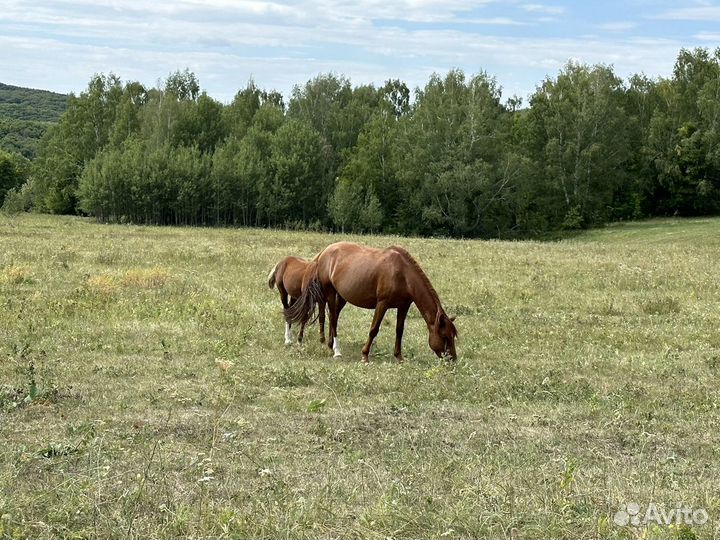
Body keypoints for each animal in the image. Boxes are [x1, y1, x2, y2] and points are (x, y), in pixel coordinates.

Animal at [284, 242, 457, 362]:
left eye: (452, 336)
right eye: (444, 336)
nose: (452, 360)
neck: (403, 274)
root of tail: (323, 253)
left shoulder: (403, 306)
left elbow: (399, 331)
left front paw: (399, 357)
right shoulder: (382, 304)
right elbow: (374, 329)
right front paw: (365, 356)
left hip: (342, 297)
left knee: (334, 318)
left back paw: (330, 344)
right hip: (330, 292)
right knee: (332, 319)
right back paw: (336, 351)